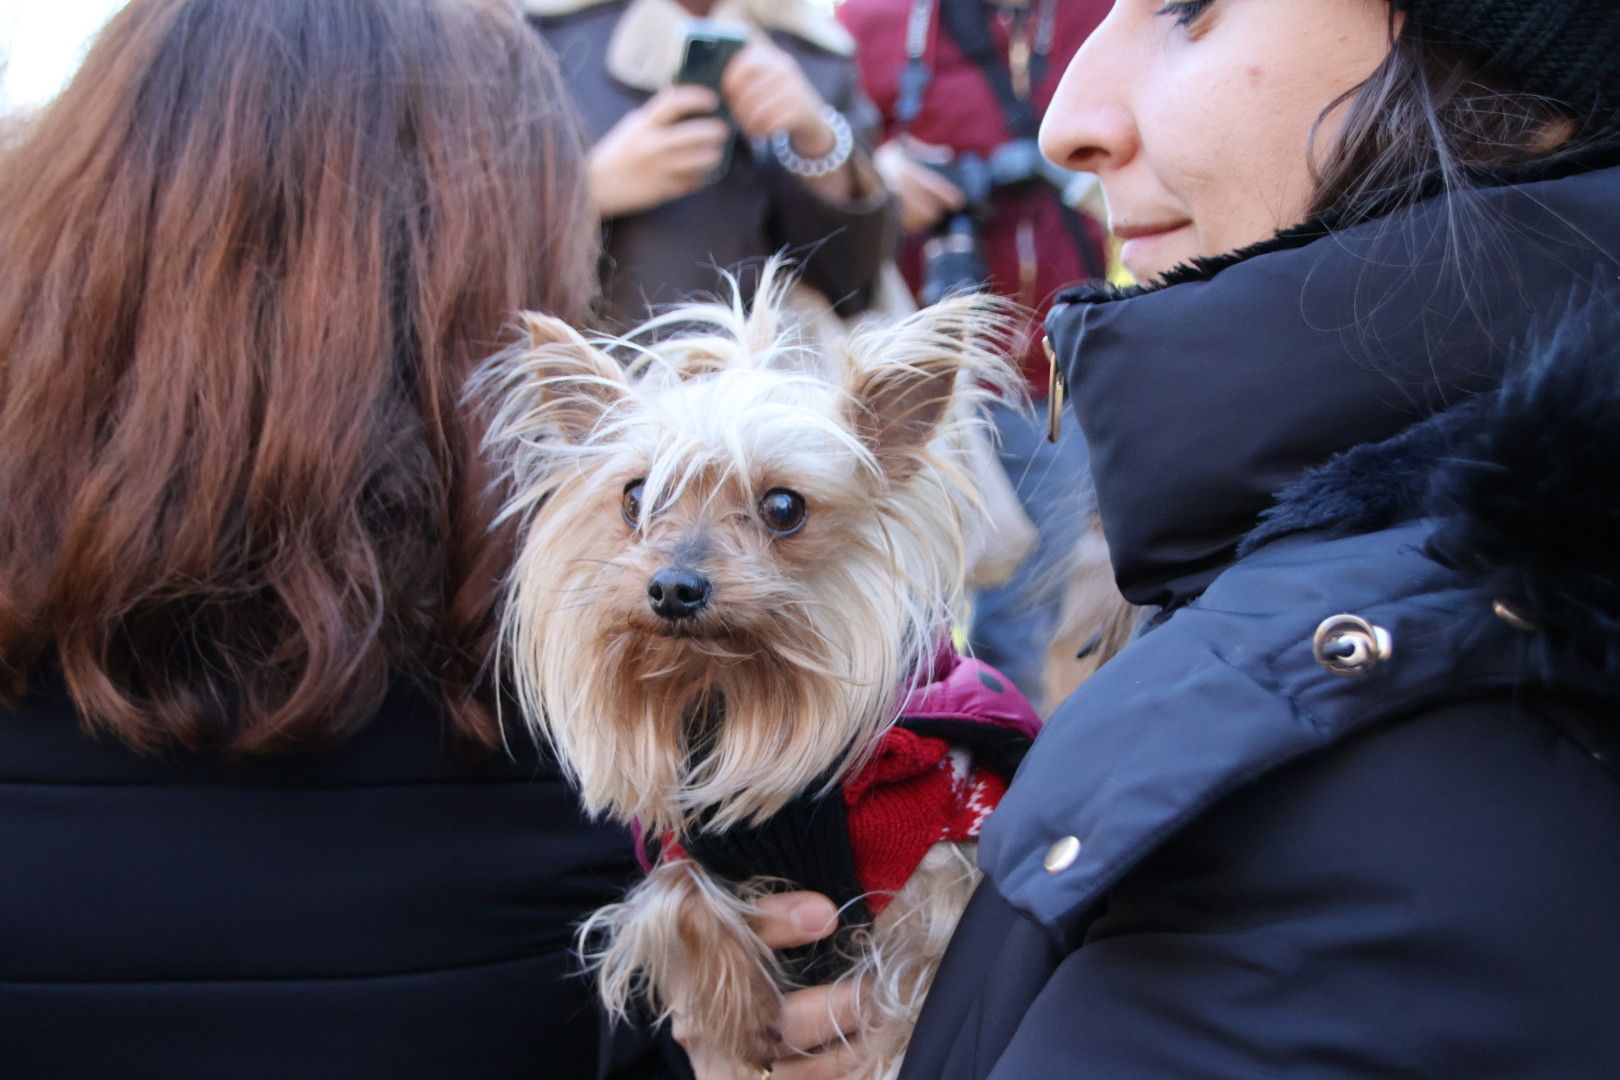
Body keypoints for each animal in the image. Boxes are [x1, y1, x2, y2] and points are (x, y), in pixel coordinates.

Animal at [482, 263, 1036, 1080]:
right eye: (635, 498)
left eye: (783, 507)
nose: (674, 587)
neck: (734, 691)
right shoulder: (685, 848)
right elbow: (679, 904)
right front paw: (740, 1018)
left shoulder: (935, 849)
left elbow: (917, 975)